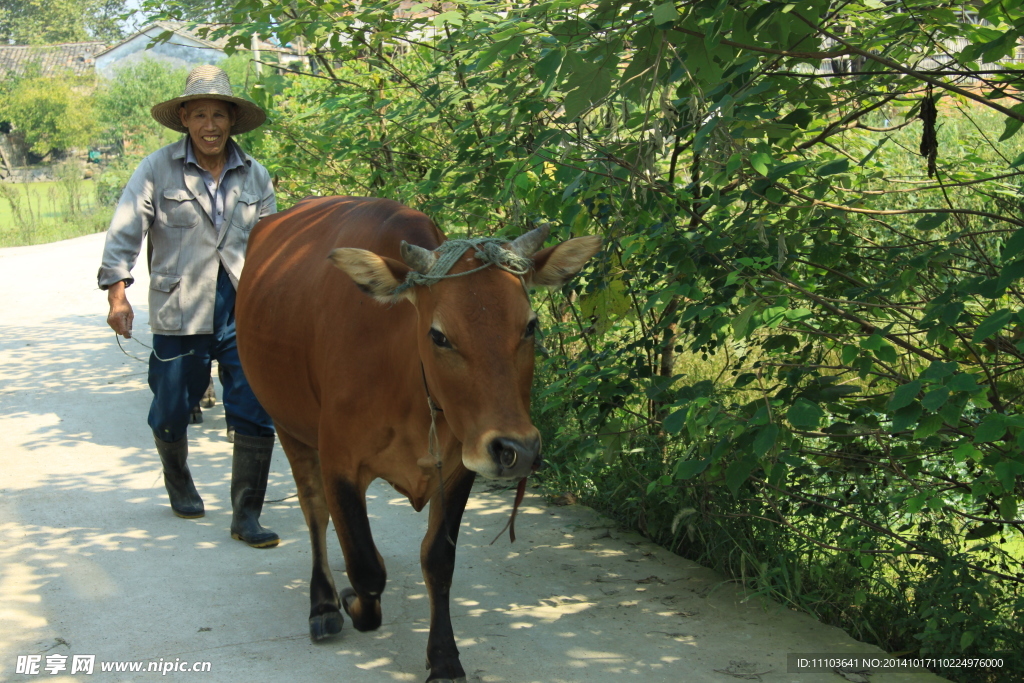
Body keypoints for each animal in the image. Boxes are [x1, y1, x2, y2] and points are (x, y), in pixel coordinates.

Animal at [234, 194, 598, 679]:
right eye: (439, 335)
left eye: (530, 326)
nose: (517, 450)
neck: (404, 373)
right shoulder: (339, 461)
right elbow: (366, 568)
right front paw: (351, 601)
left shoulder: (459, 466)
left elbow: (438, 560)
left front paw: (443, 657)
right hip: (288, 425)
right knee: (315, 514)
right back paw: (324, 603)